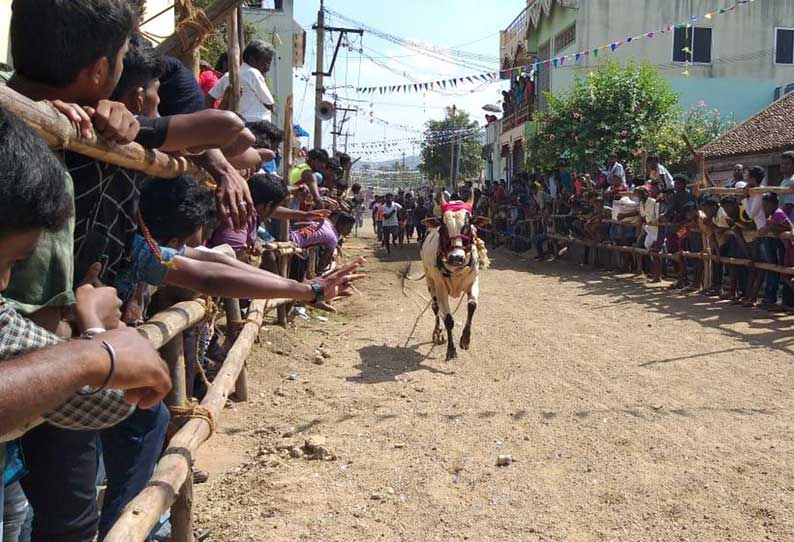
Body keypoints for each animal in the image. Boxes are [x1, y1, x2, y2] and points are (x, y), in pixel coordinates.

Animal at [420, 193, 488, 364]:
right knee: (436, 309)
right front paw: (451, 350)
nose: (456, 257)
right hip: (430, 282)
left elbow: (472, 306)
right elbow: (449, 319)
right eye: (443, 228)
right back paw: (438, 333)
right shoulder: (440, 288)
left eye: (468, 225)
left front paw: (465, 340)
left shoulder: (473, 282)